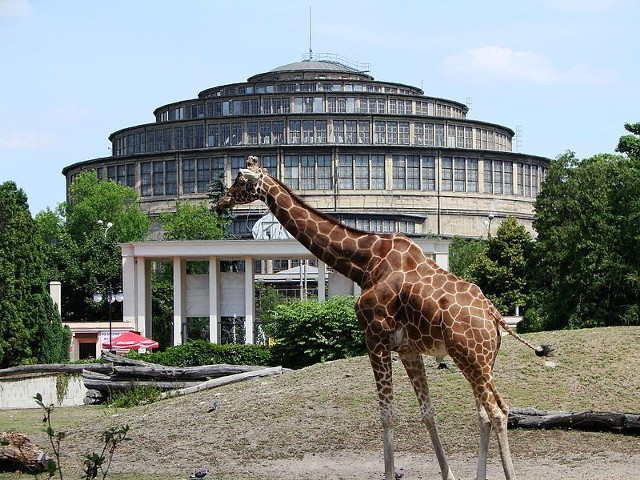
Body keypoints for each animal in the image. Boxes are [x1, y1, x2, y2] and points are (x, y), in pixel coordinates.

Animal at [219, 158, 552, 480]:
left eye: (241, 179)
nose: (222, 201)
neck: (364, 262)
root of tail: (494, 316)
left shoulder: (375, 336)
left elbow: (386, 414)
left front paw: (391, 472)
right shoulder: (407, 349)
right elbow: (427, 412)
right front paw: (450, 475)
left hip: (470, 357)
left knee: (498, 411)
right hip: (483, 361)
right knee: (484, 412)